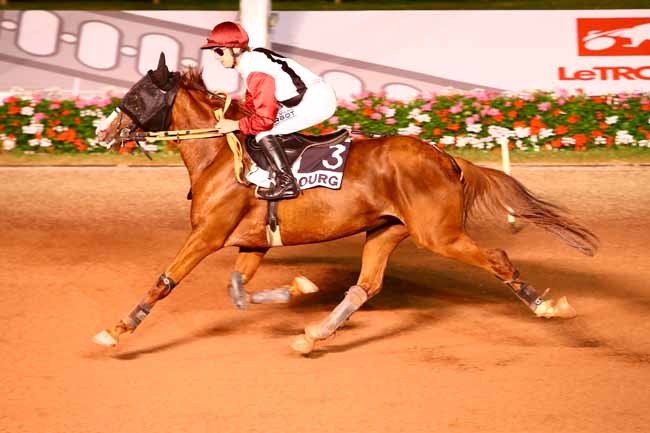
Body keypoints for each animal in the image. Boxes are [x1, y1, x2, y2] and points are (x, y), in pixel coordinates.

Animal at [92, 57, 598, 355]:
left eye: (136, 95)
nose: (103, 131)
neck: (220, 155)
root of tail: (446, 157)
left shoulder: (206, 235)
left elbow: (164, 282)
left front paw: (117, 330)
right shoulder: (254, 242)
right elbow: (237, 289)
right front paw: (299, 288)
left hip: (439, 234)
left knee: (498, 257)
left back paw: (550, 310)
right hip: (387, 229)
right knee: (365, 286)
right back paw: (314, 334)